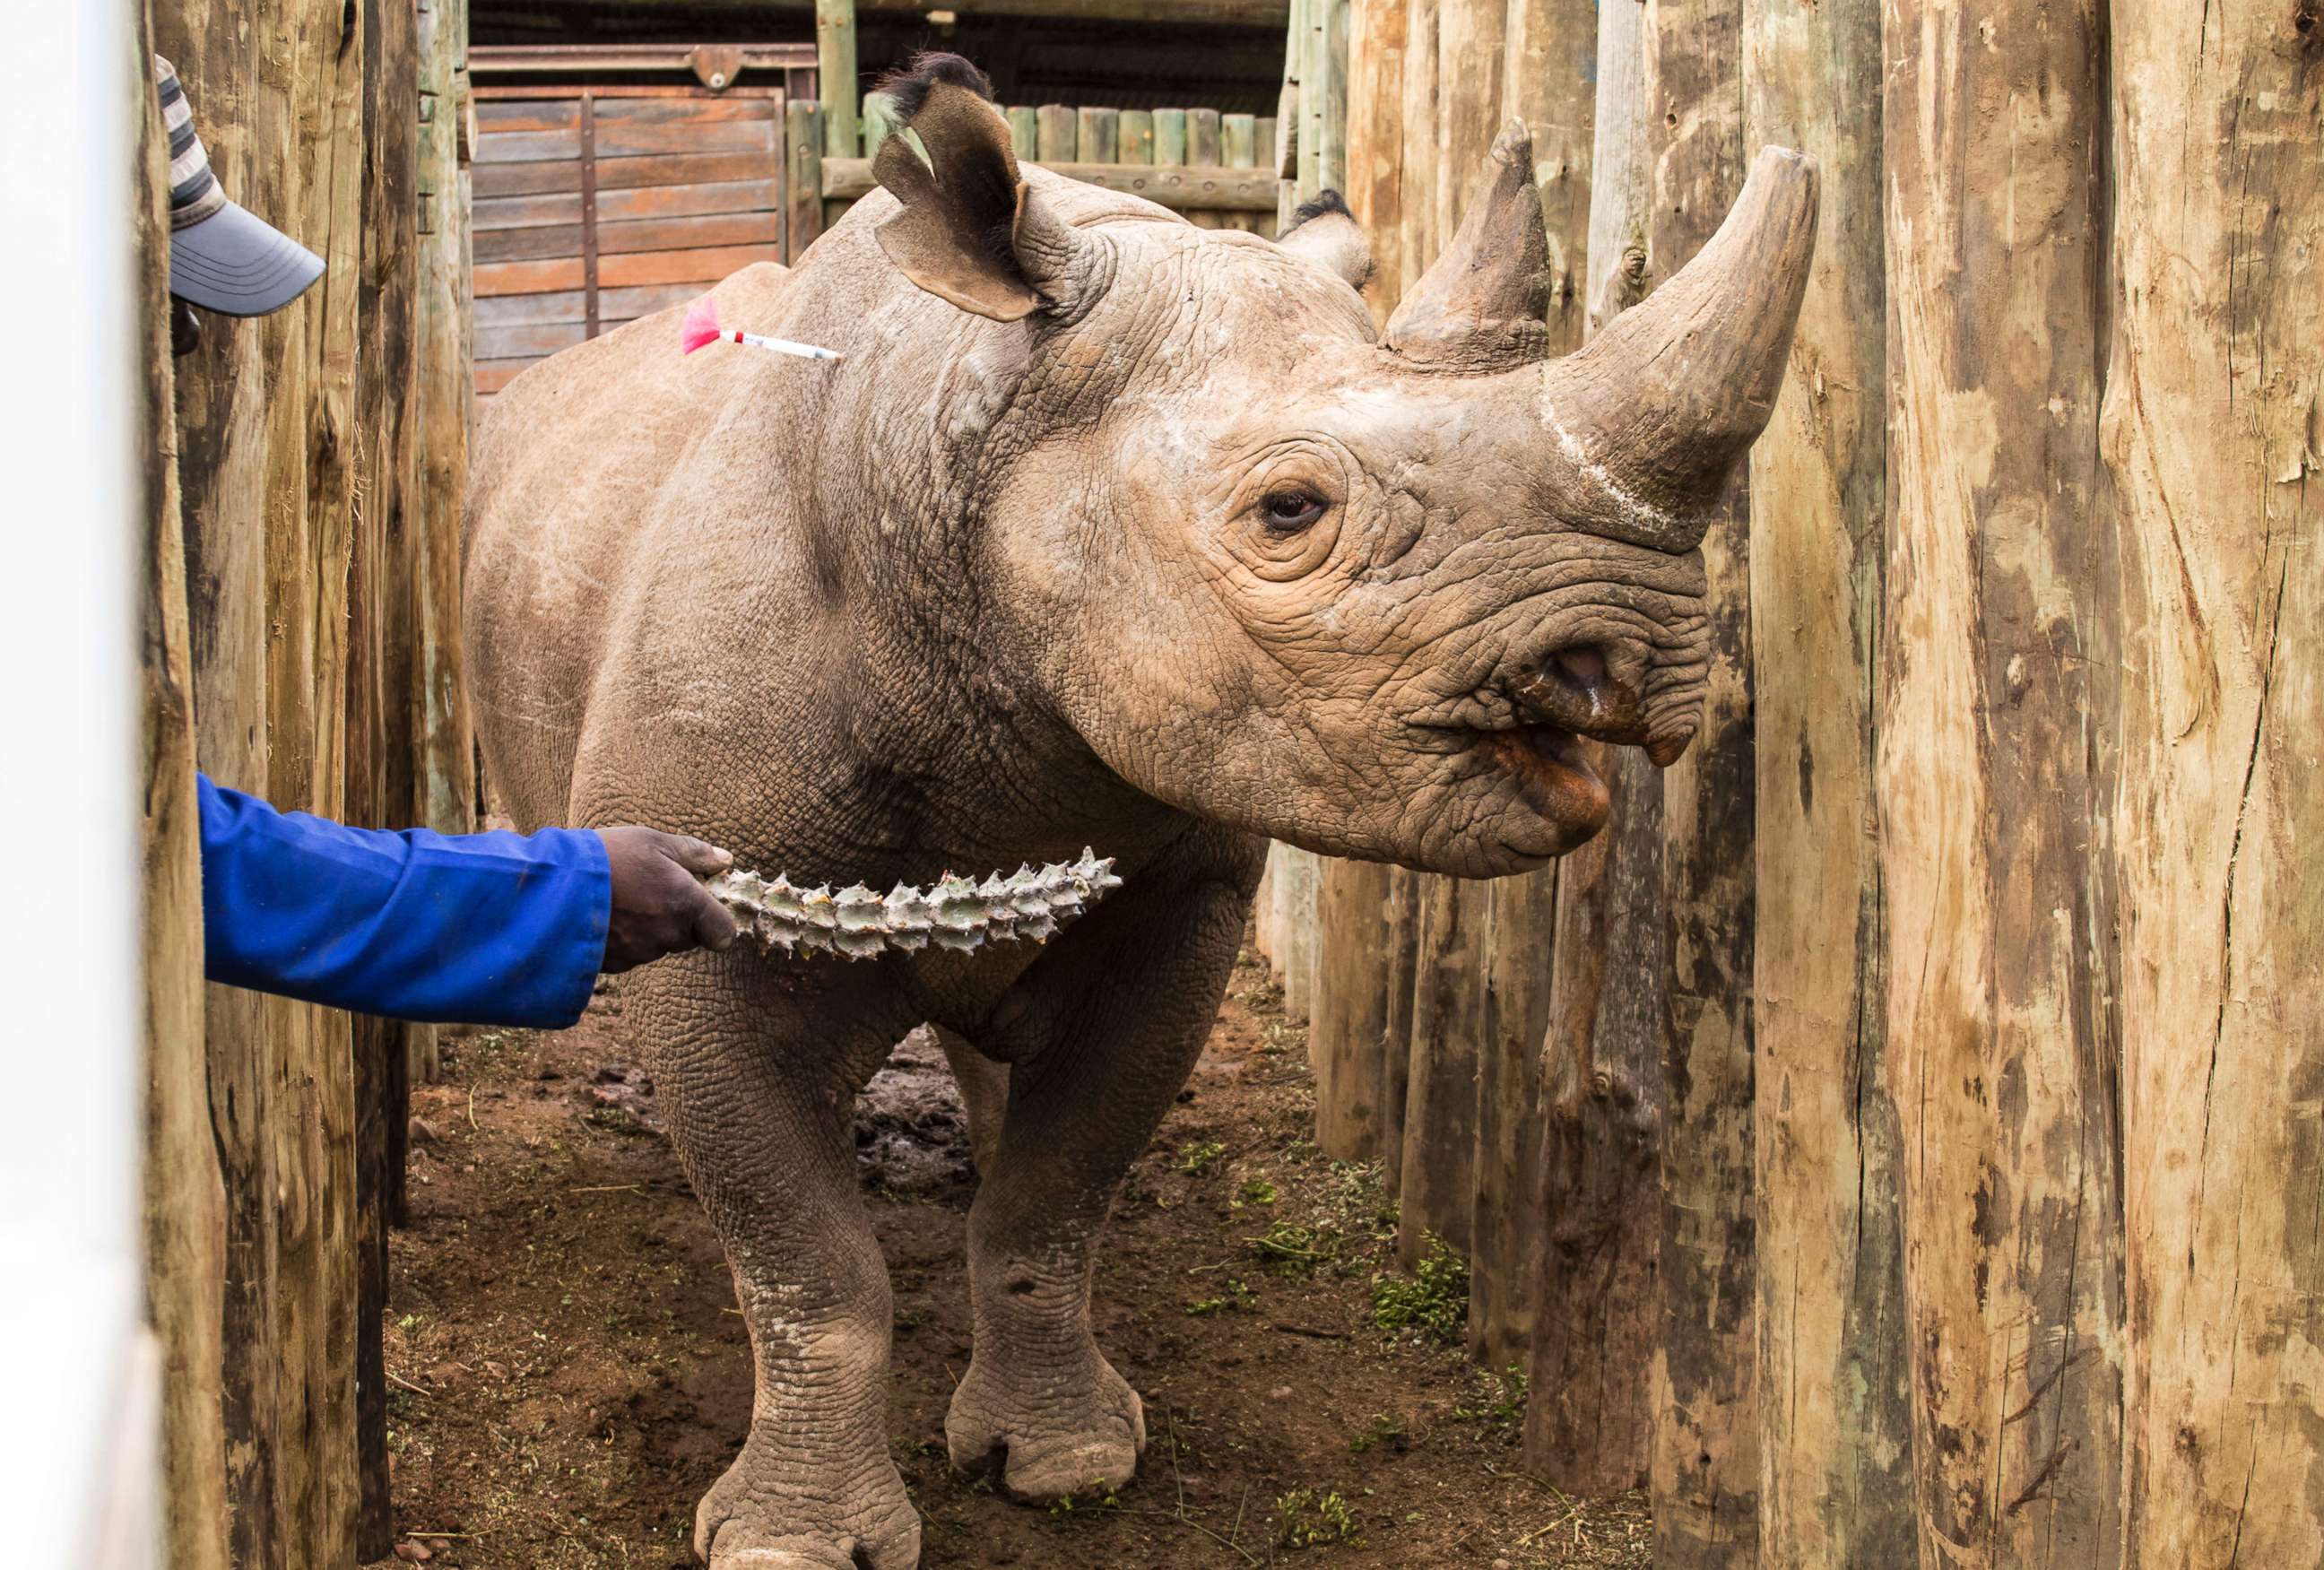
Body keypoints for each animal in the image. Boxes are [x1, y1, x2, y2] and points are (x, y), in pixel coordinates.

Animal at [466, 52, 1812, 1570]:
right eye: (1288, 511)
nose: (1633, 658)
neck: (967, 427)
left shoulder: (1180, 884)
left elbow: (1060, 1191)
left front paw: (1064, 1462)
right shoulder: (719, 907)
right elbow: (806, 1256)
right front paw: (794, 1542)